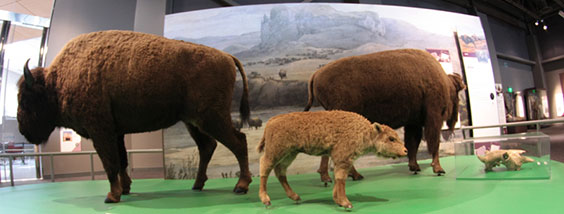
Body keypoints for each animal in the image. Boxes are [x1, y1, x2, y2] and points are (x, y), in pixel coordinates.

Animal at [17, 29, 251, 202]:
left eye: (25, 100)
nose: (23, 130)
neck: (56, 82)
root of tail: (227, 57)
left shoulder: (101, 131)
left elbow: (110, 162)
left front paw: (112, 196)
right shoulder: (116, 132)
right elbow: (121, 160)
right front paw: (125, 189)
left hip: (212, 118)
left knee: (238, 142)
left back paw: (240, 186)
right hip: (193, 122)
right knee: (207, 146)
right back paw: (197, 185)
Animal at [258, 111, 408, 208]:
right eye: (391, 138)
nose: (405, 151)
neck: (364, 132)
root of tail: (272, 120)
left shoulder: (340, 160)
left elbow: (337, 178)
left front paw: (337, 200)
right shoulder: (343, 159)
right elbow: (341, 179)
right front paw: (346, 203)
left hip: (289, 154)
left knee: (280, 171)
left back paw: (295, 197)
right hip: (275, 152)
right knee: (265, 167)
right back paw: (266, 200)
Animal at [306, 48, 464, 182]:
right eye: (457, 91)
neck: (445, 82)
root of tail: (316, 75)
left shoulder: (413, 123)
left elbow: (412, 144)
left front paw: (414, 167)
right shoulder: (433, 119)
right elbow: (433, 143)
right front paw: (438, 169)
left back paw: (332, 176)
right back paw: (346, 176)